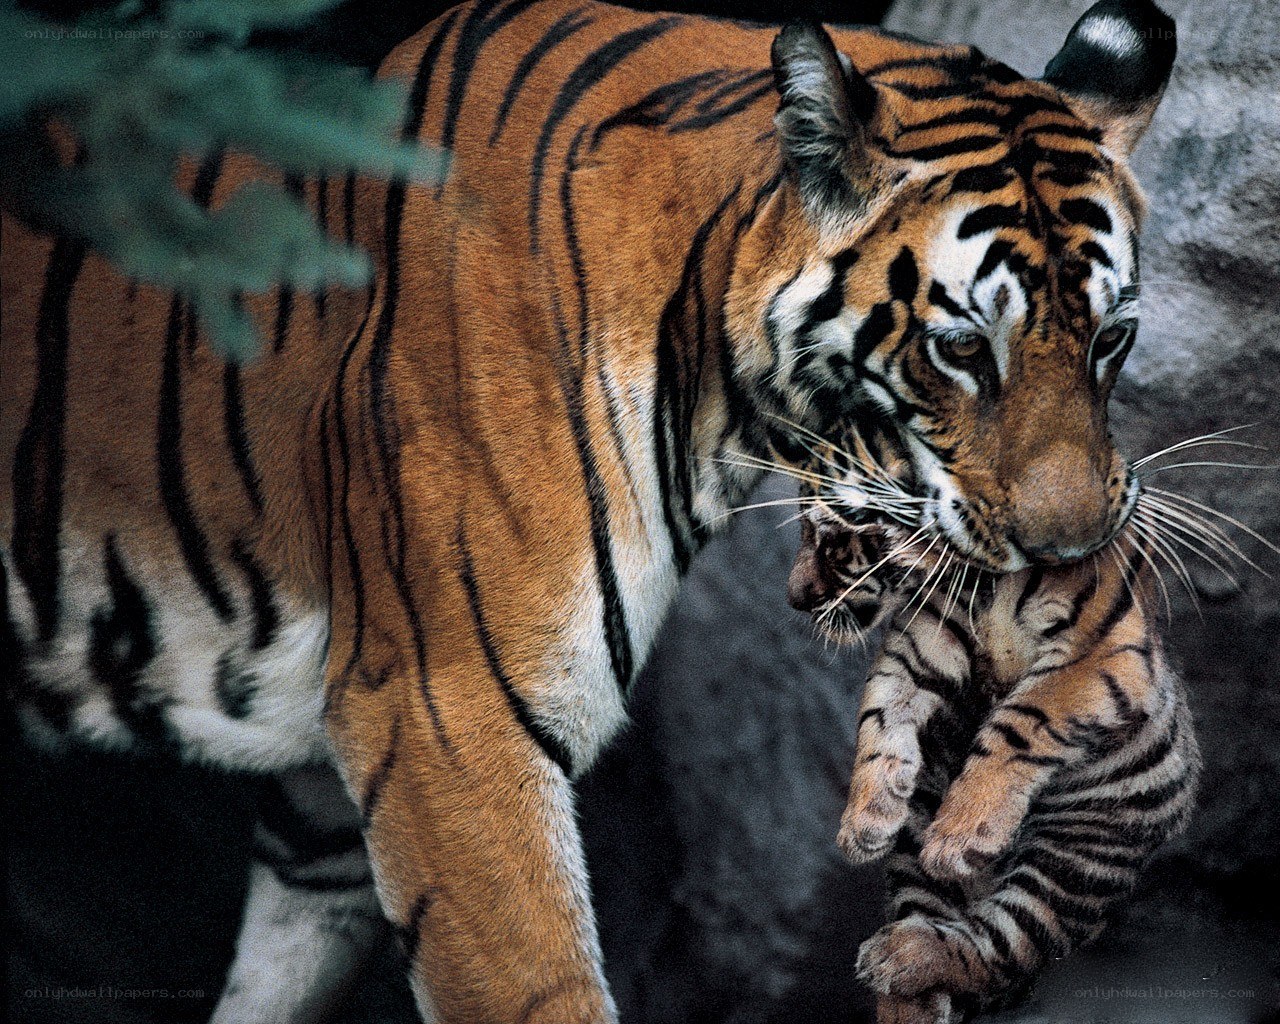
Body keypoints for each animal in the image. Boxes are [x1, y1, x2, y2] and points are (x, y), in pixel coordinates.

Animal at [786, 425, 1200, 1024]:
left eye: (833, 540)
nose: (795, 599)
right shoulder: (922, 641)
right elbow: (880, 714)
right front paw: (864, 821)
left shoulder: (1097, 651)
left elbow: (1019, 720)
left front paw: (960, 834)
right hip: (913, 856)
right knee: (931, 914)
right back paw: (900, 988)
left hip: (1074, 861)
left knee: (997, 946)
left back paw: (902, 950)